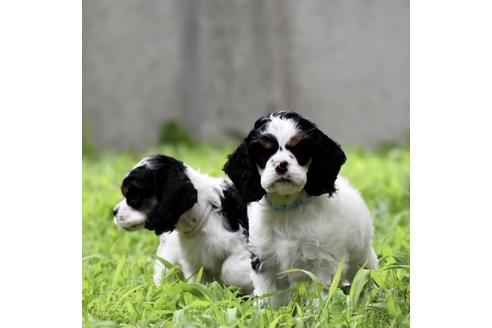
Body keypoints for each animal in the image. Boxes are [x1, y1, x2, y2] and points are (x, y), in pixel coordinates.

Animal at [223, 111, 376, 306]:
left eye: (300, 150)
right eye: (263, 152)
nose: (281, 164)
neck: (287, 208)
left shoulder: (322, 264)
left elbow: (320, 297)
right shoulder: (264, 262)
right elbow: (269, 298)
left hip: (362, 255)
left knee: (366, 276)